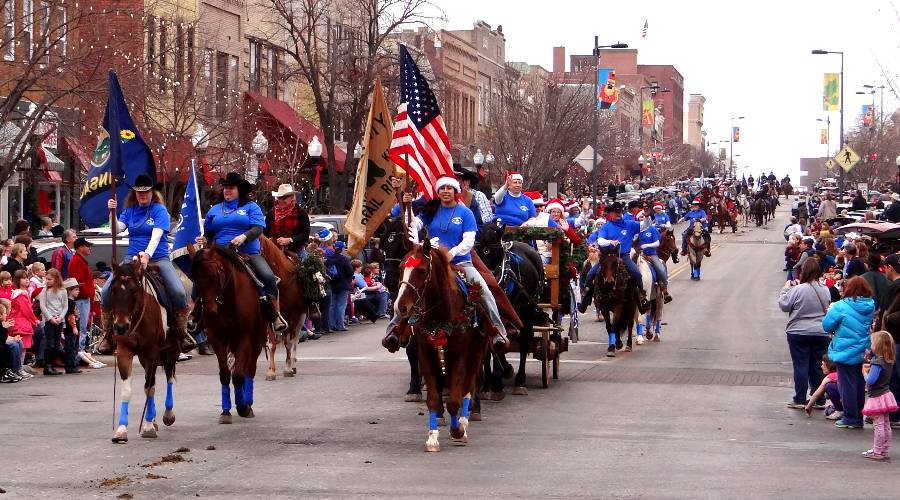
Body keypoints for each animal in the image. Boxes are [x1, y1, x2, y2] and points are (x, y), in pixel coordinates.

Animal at [107, 260, 179, 444]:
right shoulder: (124, 351)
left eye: (134, 291)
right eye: (113, 290)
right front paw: (121, 430)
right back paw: (153, 419)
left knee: (169, 377)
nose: (120, 327)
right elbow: (127, 391)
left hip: (170, 351)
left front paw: (147, 427)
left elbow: (149, 388)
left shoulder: (151, 353)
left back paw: (167, 415)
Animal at [189, 244, 268, 424]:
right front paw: (226, 411)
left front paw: (242, 407)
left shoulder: (244, 337)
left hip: (257, 339)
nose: (209, 313)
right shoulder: (217, 339)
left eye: (213, 275)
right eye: (195, 279)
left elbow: (238, 375)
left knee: (250, 369)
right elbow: (225, 374)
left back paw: (248, 403)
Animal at [256, 236, 306, 380]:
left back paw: (293, 365)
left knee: (295, 340)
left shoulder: (293, 315)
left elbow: (289, 342)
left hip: (301, 317)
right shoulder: (270, 316)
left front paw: (288, 369)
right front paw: (270, 371)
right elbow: (271, 344)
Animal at [394, 239, 488, 454]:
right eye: (401, 267)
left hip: (476, 353)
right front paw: (432, 438)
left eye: (421, 270)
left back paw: (464, 423)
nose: (400, 307)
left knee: (468, 388)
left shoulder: (459, 356)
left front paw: (458, 431)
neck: (441, 315)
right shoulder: (426, 355)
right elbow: (434, 399)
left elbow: (454, 400)